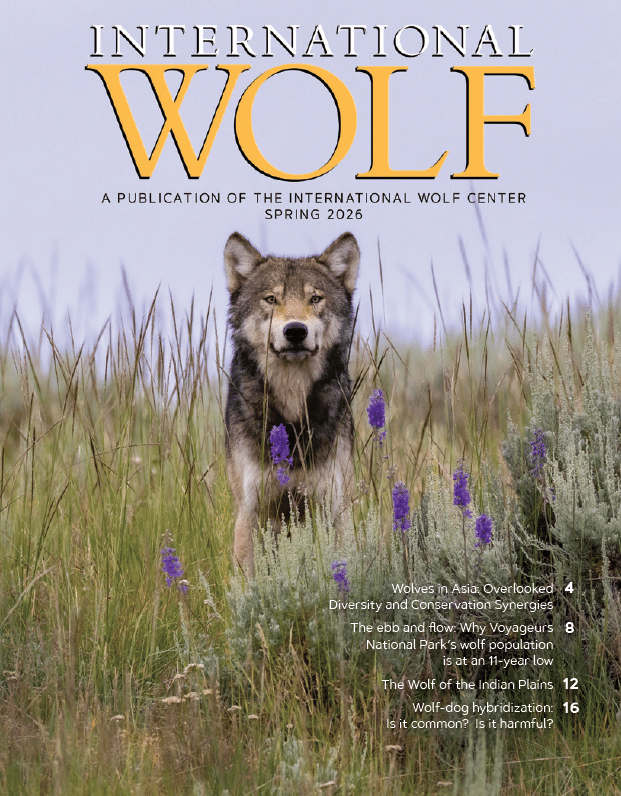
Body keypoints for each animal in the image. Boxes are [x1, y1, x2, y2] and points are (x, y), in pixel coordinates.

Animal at [224, 232, 360, 576]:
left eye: (315, 299)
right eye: (271, 299)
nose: (295, 331)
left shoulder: (334, 508)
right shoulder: (250, 511)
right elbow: (248, 579)